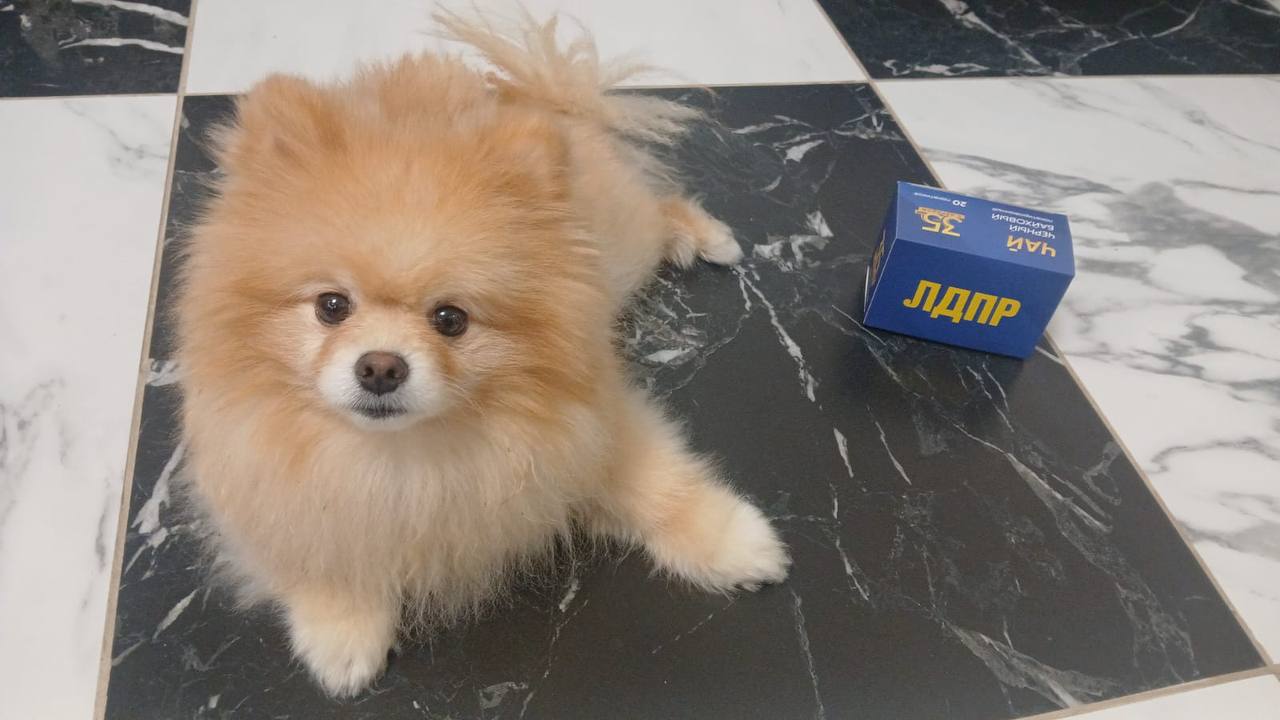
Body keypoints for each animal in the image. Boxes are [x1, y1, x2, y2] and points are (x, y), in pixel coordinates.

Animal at [175, 10, 789, 696]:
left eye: (451, 320)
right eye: (332, 306)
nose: (380, 367)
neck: (405, 459)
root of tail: (537, 97)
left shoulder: (596, 421)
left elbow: (661, 484)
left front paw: (738, 544)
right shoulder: (263, 478)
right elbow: (317, 548)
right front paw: (342, 635)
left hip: (625, 239)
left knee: (661, 204)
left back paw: (708, 239)